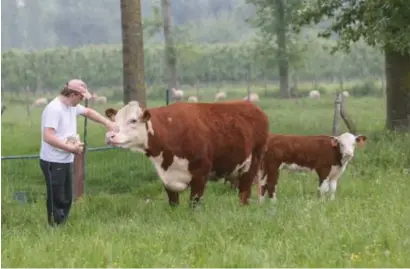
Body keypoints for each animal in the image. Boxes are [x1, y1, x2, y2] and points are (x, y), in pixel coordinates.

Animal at [104, 99, 270, 206]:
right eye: (115, 120)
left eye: (133, 120)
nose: (110, 136)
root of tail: (253, 107)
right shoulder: (167, 178)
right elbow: (173, 202)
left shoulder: (201, 172)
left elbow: (194, 202)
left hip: (252, 163)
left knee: (244, 192)